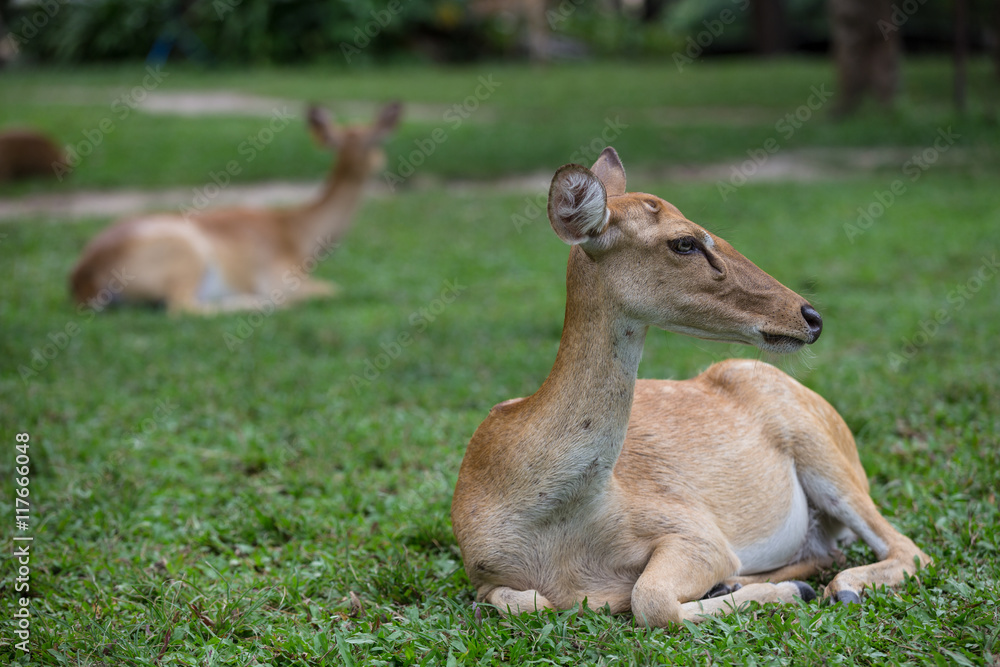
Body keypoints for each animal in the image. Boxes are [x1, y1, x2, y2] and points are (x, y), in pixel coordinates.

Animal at [69, 102, 402, 316]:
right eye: (376, 142)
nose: (382, 165)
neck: (300, 235)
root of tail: (83, 279)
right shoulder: (280, 279)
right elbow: (333, 289)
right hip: (185, 255)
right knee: (181, 307)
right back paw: (257, 304)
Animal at [450, 146, 932, 628]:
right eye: (684, 242)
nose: (810, 316)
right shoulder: (484, 575)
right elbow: (528, 603)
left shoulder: (694, 530)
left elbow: (651, 599)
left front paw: (788, 594)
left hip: (828, 458)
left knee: (909, 550)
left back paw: (835, 588)